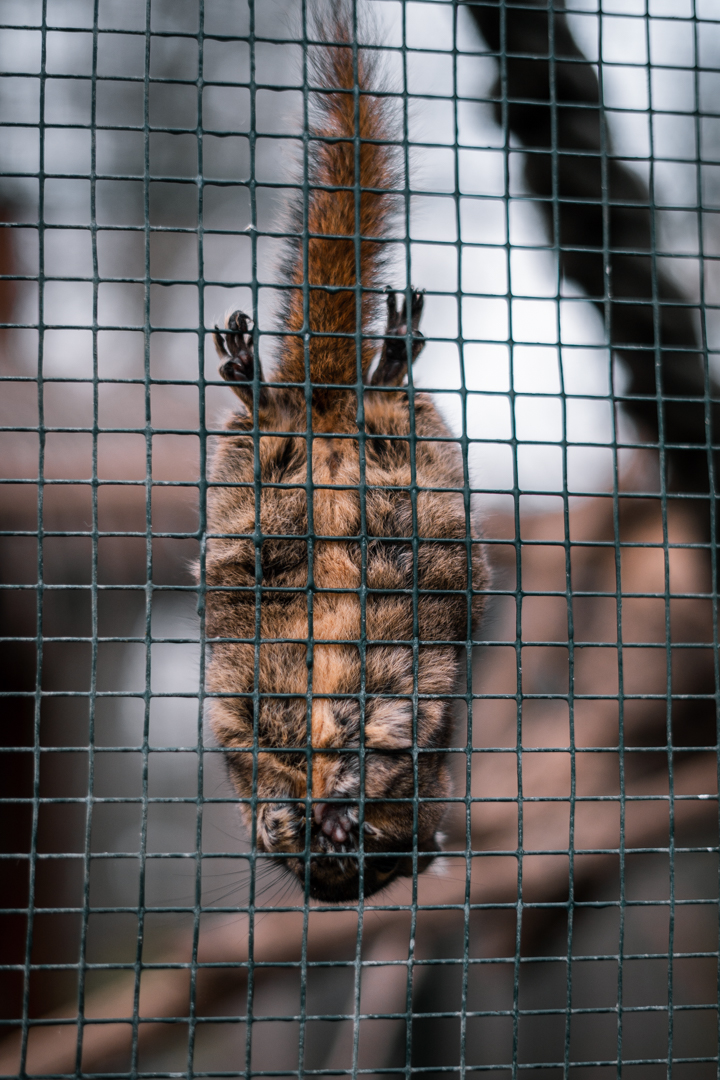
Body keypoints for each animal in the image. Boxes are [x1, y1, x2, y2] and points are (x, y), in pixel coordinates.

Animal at [203, 2, 487, 902]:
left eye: (368, 860)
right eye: (313, 867)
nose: (325, 844)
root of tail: (327, 407)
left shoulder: (401, 700)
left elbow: (392, 719)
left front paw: (340, 790)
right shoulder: (247, 721)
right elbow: (250, 742)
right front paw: (278, 807)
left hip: (365, 465)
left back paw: (356, 374)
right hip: (274, 469)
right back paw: (345, 372)